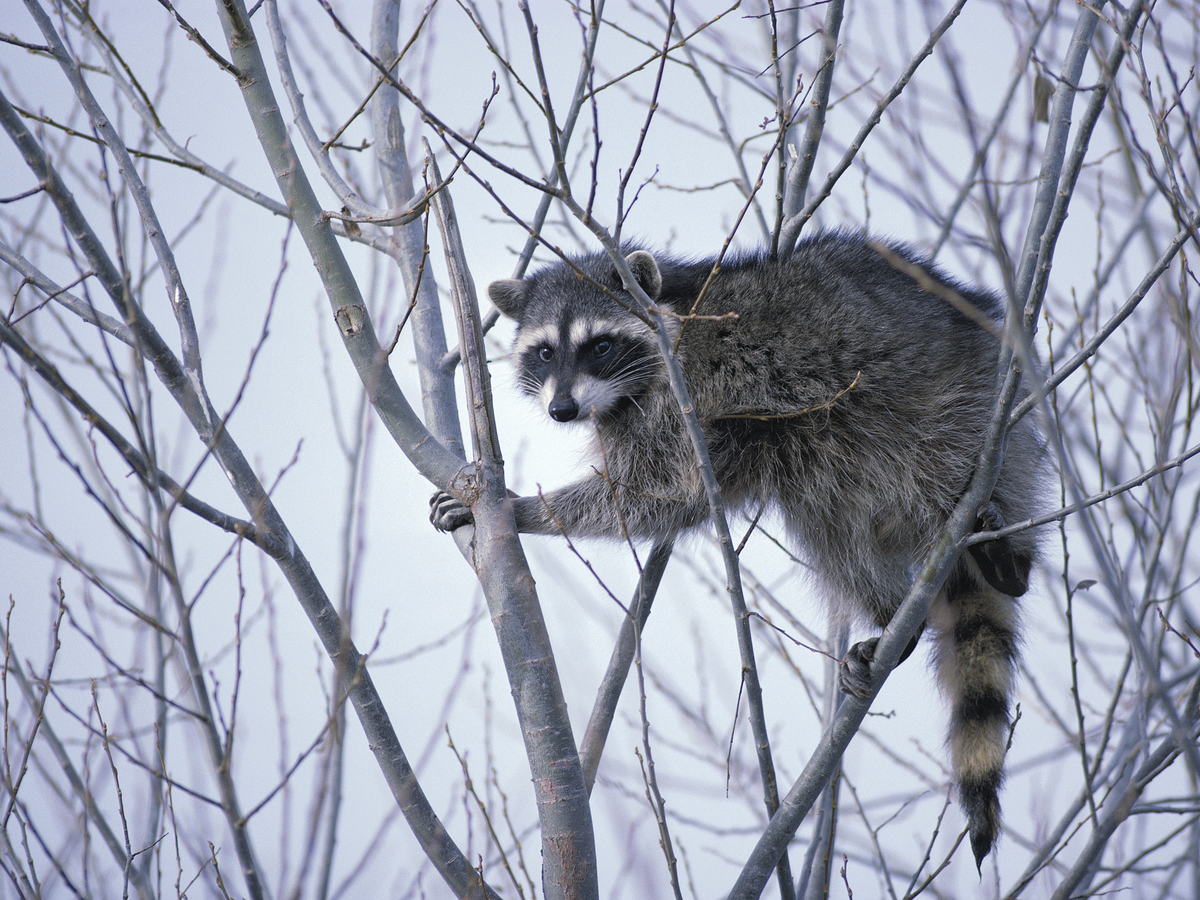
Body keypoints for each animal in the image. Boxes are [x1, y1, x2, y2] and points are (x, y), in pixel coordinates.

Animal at [430, 230, 1043, 867]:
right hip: (827, 455)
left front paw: (523, 509)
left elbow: (654, 490)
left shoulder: (688, 397)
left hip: (956, 406)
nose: (562, 410)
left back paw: (1008, 557)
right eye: (546, 352)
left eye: (599, 345)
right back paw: (891, 613)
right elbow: (669, 500)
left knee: (939, 465)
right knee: (828, 524)